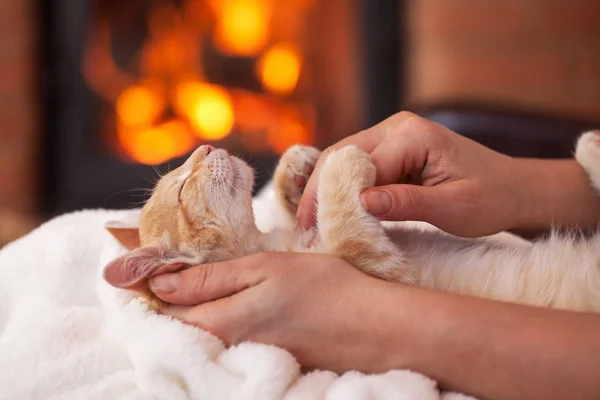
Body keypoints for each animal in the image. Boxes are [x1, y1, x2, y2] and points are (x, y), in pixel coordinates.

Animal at [105, 131, 600, 312]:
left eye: (183, 170)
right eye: (182, 188)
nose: (205, 147)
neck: (271, 245)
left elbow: (304, 207)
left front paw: (298, 167)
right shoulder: (392, 273)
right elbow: (344, 228)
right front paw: (344, 160)